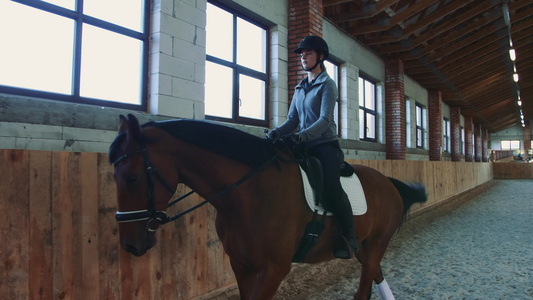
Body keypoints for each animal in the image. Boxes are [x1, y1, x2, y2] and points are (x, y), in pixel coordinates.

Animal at [110, 113, 426, 298]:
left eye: (133, 177)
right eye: (114, 176)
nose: (130, 246)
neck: (250, 192)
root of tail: (388, 182)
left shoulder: (274, 270)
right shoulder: (241, 265)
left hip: (376, 244)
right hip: (363, 247)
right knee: (375, 275)